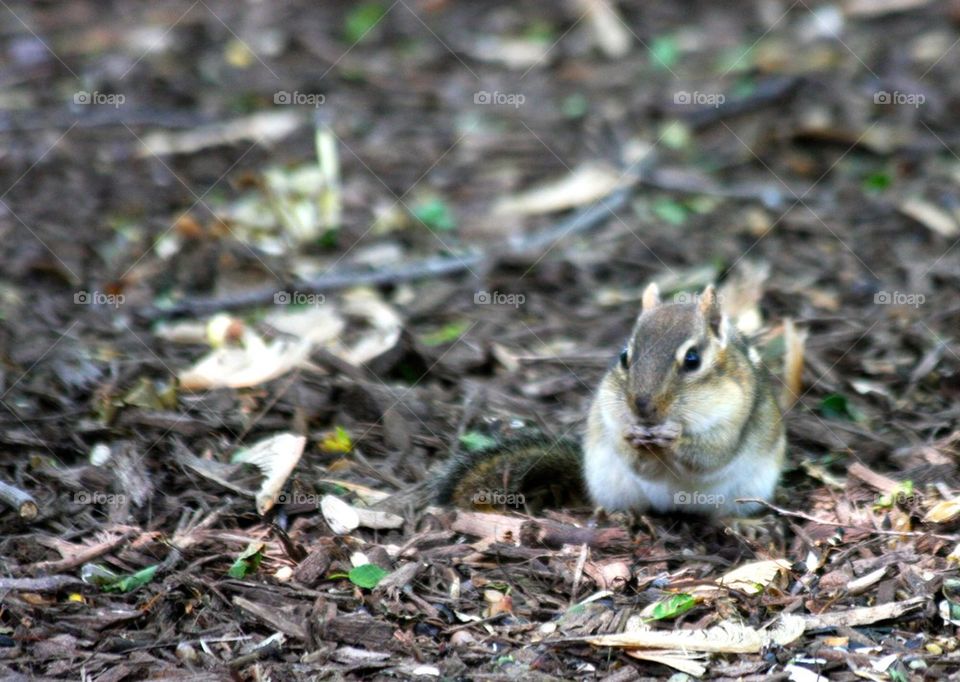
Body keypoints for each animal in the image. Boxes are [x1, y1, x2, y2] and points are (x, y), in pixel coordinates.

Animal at [434, 282, 805, 518]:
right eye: (625, 356)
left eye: (693, 359)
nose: (642, 407)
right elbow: (635, 459)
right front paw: (633, 437)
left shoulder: (734, 419)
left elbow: (710, 455)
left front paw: (673, 437)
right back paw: (624, 517)